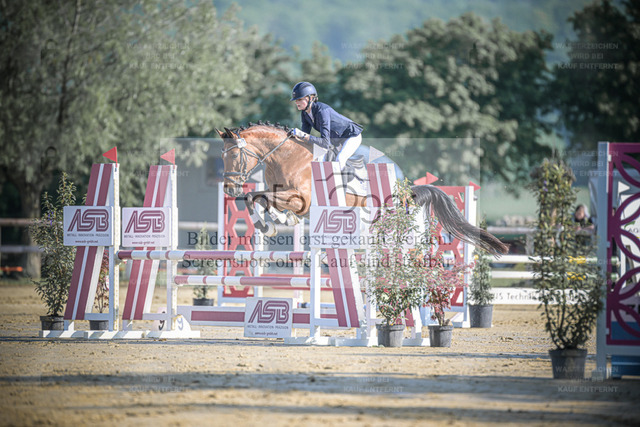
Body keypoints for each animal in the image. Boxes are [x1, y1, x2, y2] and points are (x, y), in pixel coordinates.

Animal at [216, 122, 508, 255]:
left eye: (235, 155)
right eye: (222, 156)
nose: (229, 189)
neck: (286, 157)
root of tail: (407, 192)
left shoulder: (302, 200)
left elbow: (256, 196)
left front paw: (270, 224)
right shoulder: (285, 196)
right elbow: (257, 197)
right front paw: (277, 220)